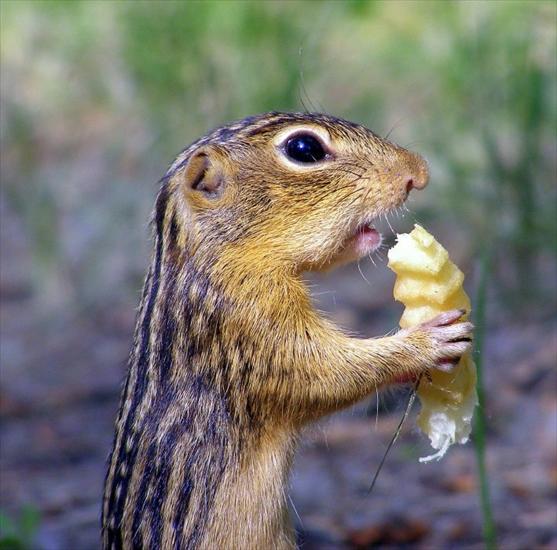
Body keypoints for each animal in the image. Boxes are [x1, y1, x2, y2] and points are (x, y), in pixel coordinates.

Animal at [102, 110, 472, 548]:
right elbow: (324, 374)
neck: (213, 262)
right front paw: (427, 342)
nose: (419, 171)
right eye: (304, 148)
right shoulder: (250, 329)